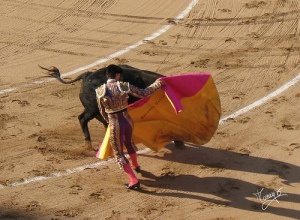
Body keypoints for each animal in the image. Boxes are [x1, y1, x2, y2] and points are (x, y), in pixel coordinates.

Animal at [40, 64, 185, 150]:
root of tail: (86, 76)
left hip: (93, 108)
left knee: (93, 118)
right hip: (92, 108)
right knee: (83, 118)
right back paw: (89, 143)